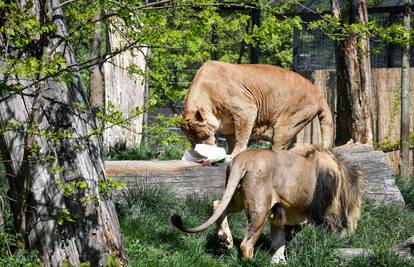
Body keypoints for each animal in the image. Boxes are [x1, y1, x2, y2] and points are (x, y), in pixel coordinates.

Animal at [170, 144, 360, 264]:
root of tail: (242, 159)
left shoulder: (280, 213)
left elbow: (279, 241)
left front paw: (279, 261)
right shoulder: (325, 211)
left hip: (237, 196)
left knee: (217, 205)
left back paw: (226, 239)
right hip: (260, 207)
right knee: (246, 244)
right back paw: (251, 261)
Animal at [181, 60, 334, 159]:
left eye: (204, 135)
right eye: (192, 141)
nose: (203, 154)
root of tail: (319, 94)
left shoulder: (245, 109)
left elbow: (242, 136)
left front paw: (234, 155)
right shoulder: (229, 127)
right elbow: (233, 139)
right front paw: (229, 152)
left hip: (289, 122)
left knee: (279, 148)